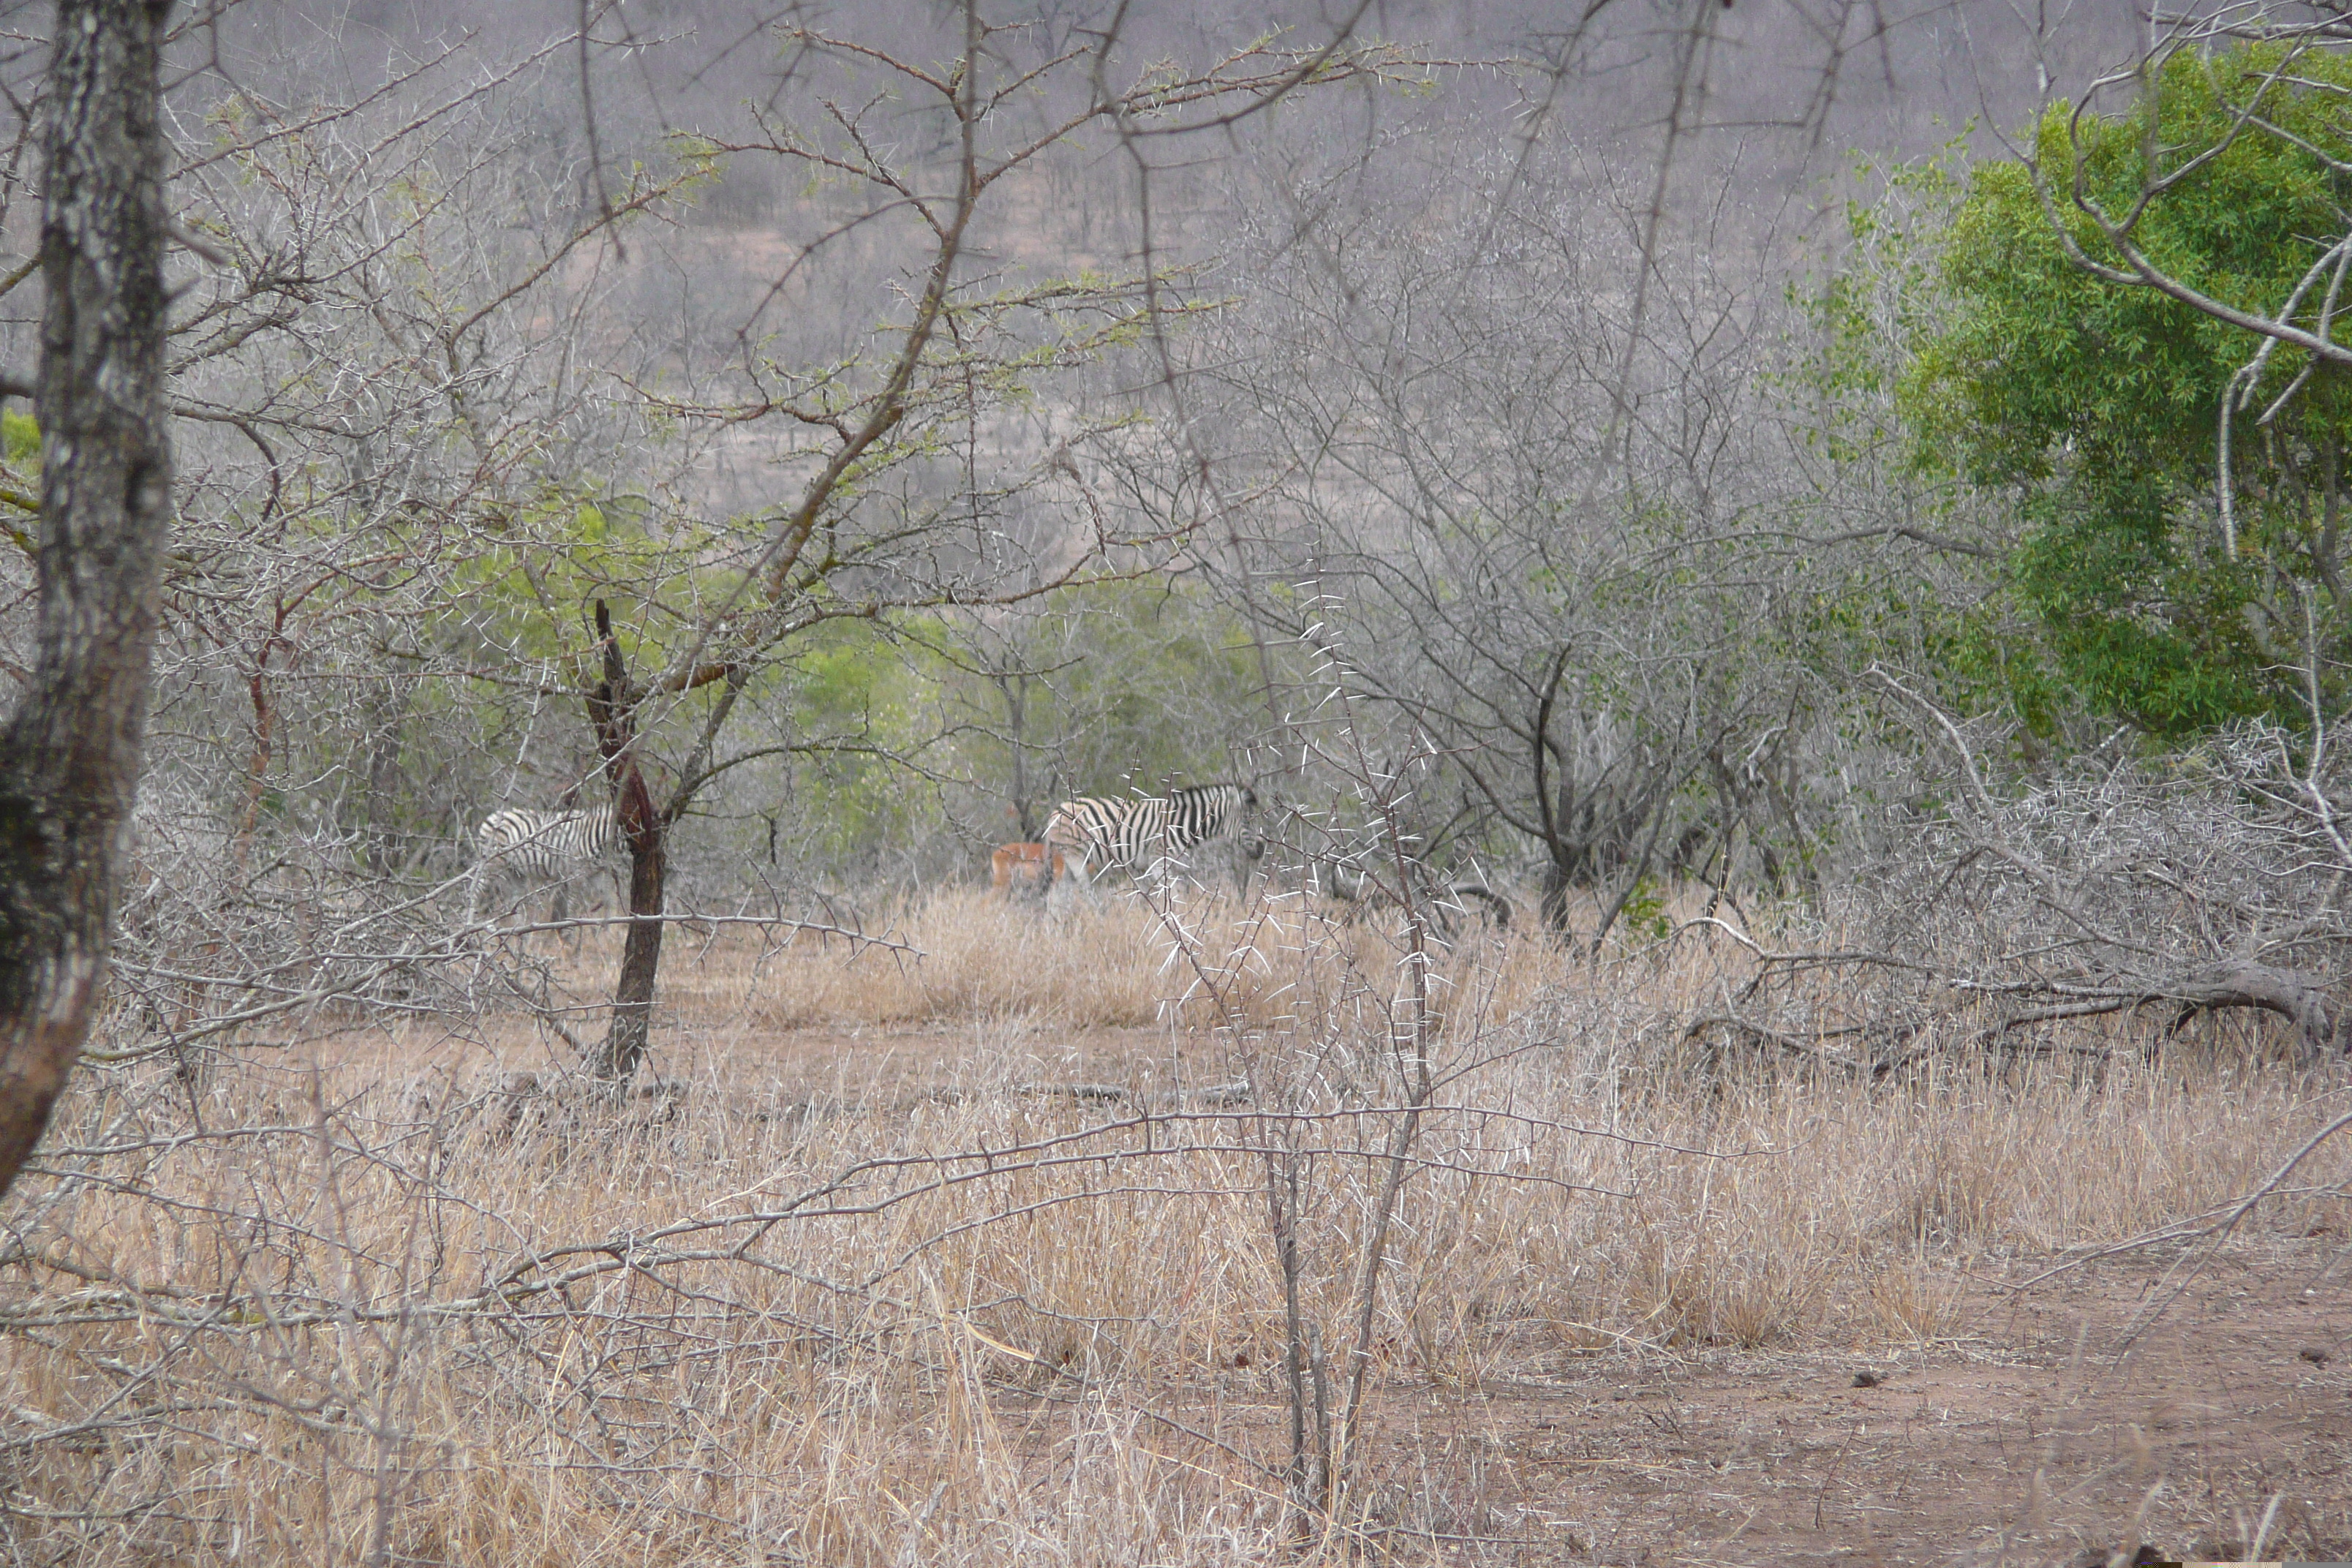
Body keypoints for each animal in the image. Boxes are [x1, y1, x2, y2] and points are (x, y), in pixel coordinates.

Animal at [459, 804, 621, 940]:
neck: (598, 835)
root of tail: (492, 816)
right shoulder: (576, 873)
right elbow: (573, 905)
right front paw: (569, 934)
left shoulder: (595, 874)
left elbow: (610, 900)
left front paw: (609, 935)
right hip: (493, 866)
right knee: (475, 895)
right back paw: (467, 932)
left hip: (514, 873)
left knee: (514, 904)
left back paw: (520, 934)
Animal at [1044, 780, 1260, 902]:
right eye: (1247, 821)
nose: (1262, 848)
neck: (1179, 824)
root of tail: (1057, 809)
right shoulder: (1157, 861)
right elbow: (1172, 893)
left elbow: (1176, 892)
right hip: (1075, 856)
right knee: (1084, 890)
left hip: (1066, 858)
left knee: (1056, 895)